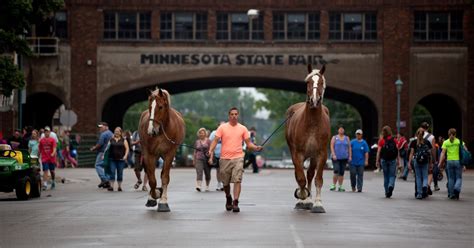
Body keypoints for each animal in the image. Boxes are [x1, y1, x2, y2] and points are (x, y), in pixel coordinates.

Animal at [286, 64, 330, 213]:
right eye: (308, 82)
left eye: (321, 82)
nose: (314, 101)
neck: (312, 124)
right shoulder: (297, 154)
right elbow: (300, 178)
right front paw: (302, 197)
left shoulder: (321, 154)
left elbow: (318, 179)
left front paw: (317, 203)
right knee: (300, 174)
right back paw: (303, 199)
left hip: (313, 156)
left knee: (310, 174)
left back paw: (310, 200)